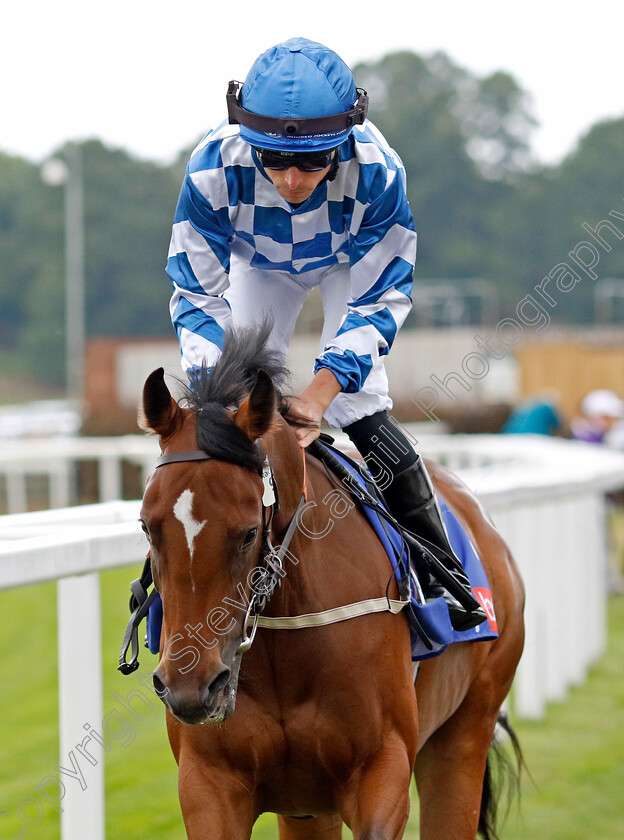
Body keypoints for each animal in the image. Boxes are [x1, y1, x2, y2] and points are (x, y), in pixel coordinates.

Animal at [139, 324, 524, 836]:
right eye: (147, 526)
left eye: (248, 533)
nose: (191, 686)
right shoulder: (209, 782)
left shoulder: (383, 768)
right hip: (306, 805)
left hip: (465, 732)